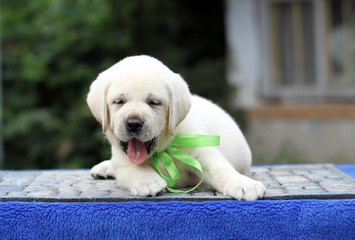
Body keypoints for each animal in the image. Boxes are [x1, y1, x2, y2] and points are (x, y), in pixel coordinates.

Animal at [87, 54, 266, 201]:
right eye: (119, 101)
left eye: (154, 102)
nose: (133, 123)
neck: (161, 152)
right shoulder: (123, 163)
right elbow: (135, 168)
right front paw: (148, 182)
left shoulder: (201, 151)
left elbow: (220, 168)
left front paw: (244, 184)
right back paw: (105, 167)